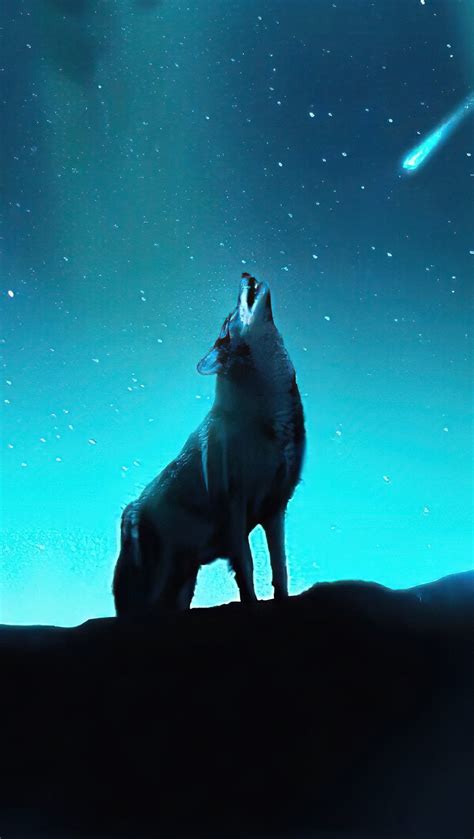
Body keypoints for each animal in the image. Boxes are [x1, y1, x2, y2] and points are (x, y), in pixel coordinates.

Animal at [112, 273, 305, 615]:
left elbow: (280, 568)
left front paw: (282, 602)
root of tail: (131, 510)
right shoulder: (234, 509)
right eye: (228, 321)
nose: (245, 275)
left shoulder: (276, 508)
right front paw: (252, 605)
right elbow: (247, 566)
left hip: (182, 583)